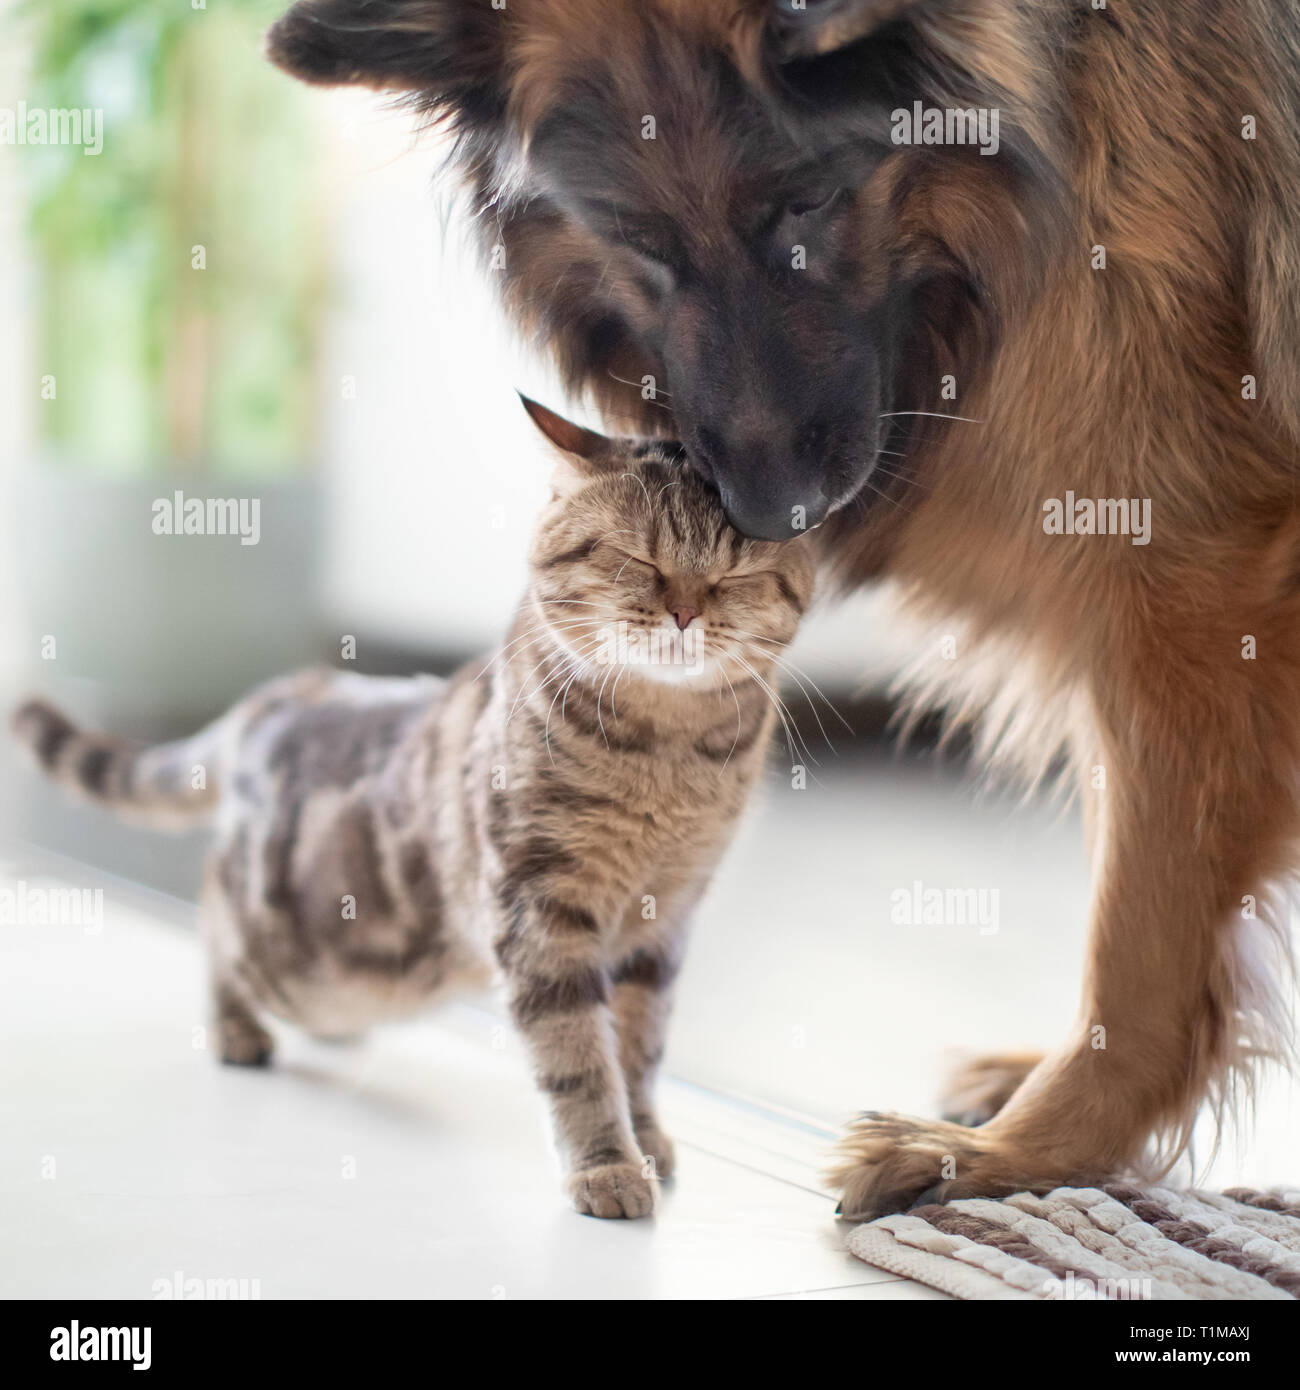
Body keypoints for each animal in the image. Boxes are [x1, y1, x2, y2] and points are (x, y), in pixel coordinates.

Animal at [15, 400, 811, 1217]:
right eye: (637, 558)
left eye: (736, 573)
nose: (684, 611)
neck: (668, 752)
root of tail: (283, 691)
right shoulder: (541, 908)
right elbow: (580, 1056)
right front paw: (607, 1164)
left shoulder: (664, 921)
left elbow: (640, 1046)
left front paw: (645, 1135)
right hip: (280, 941)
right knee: (212, 916)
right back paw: (236, 1028)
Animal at [264, 0, 1300, 1217]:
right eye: (637, 238)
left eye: (805, 202)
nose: (768, 516)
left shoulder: (1191, 592)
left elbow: (1138, 944)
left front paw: (1015, 1155)